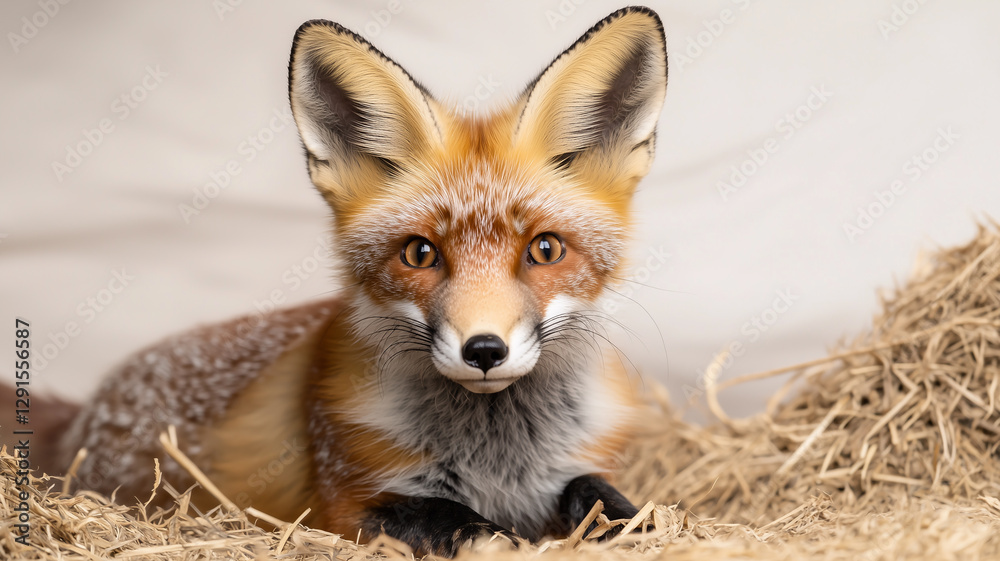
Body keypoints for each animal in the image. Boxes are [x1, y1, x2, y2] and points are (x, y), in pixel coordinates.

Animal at [6, 6, 668, 556]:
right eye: (420, 253)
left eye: (544, 249)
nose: (484, 350)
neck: (499, 461)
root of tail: (86, 409)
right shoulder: (346, 504)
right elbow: (460, 522)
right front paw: (510, 539)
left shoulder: (581, 464)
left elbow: (606, 499)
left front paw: (633, 526)